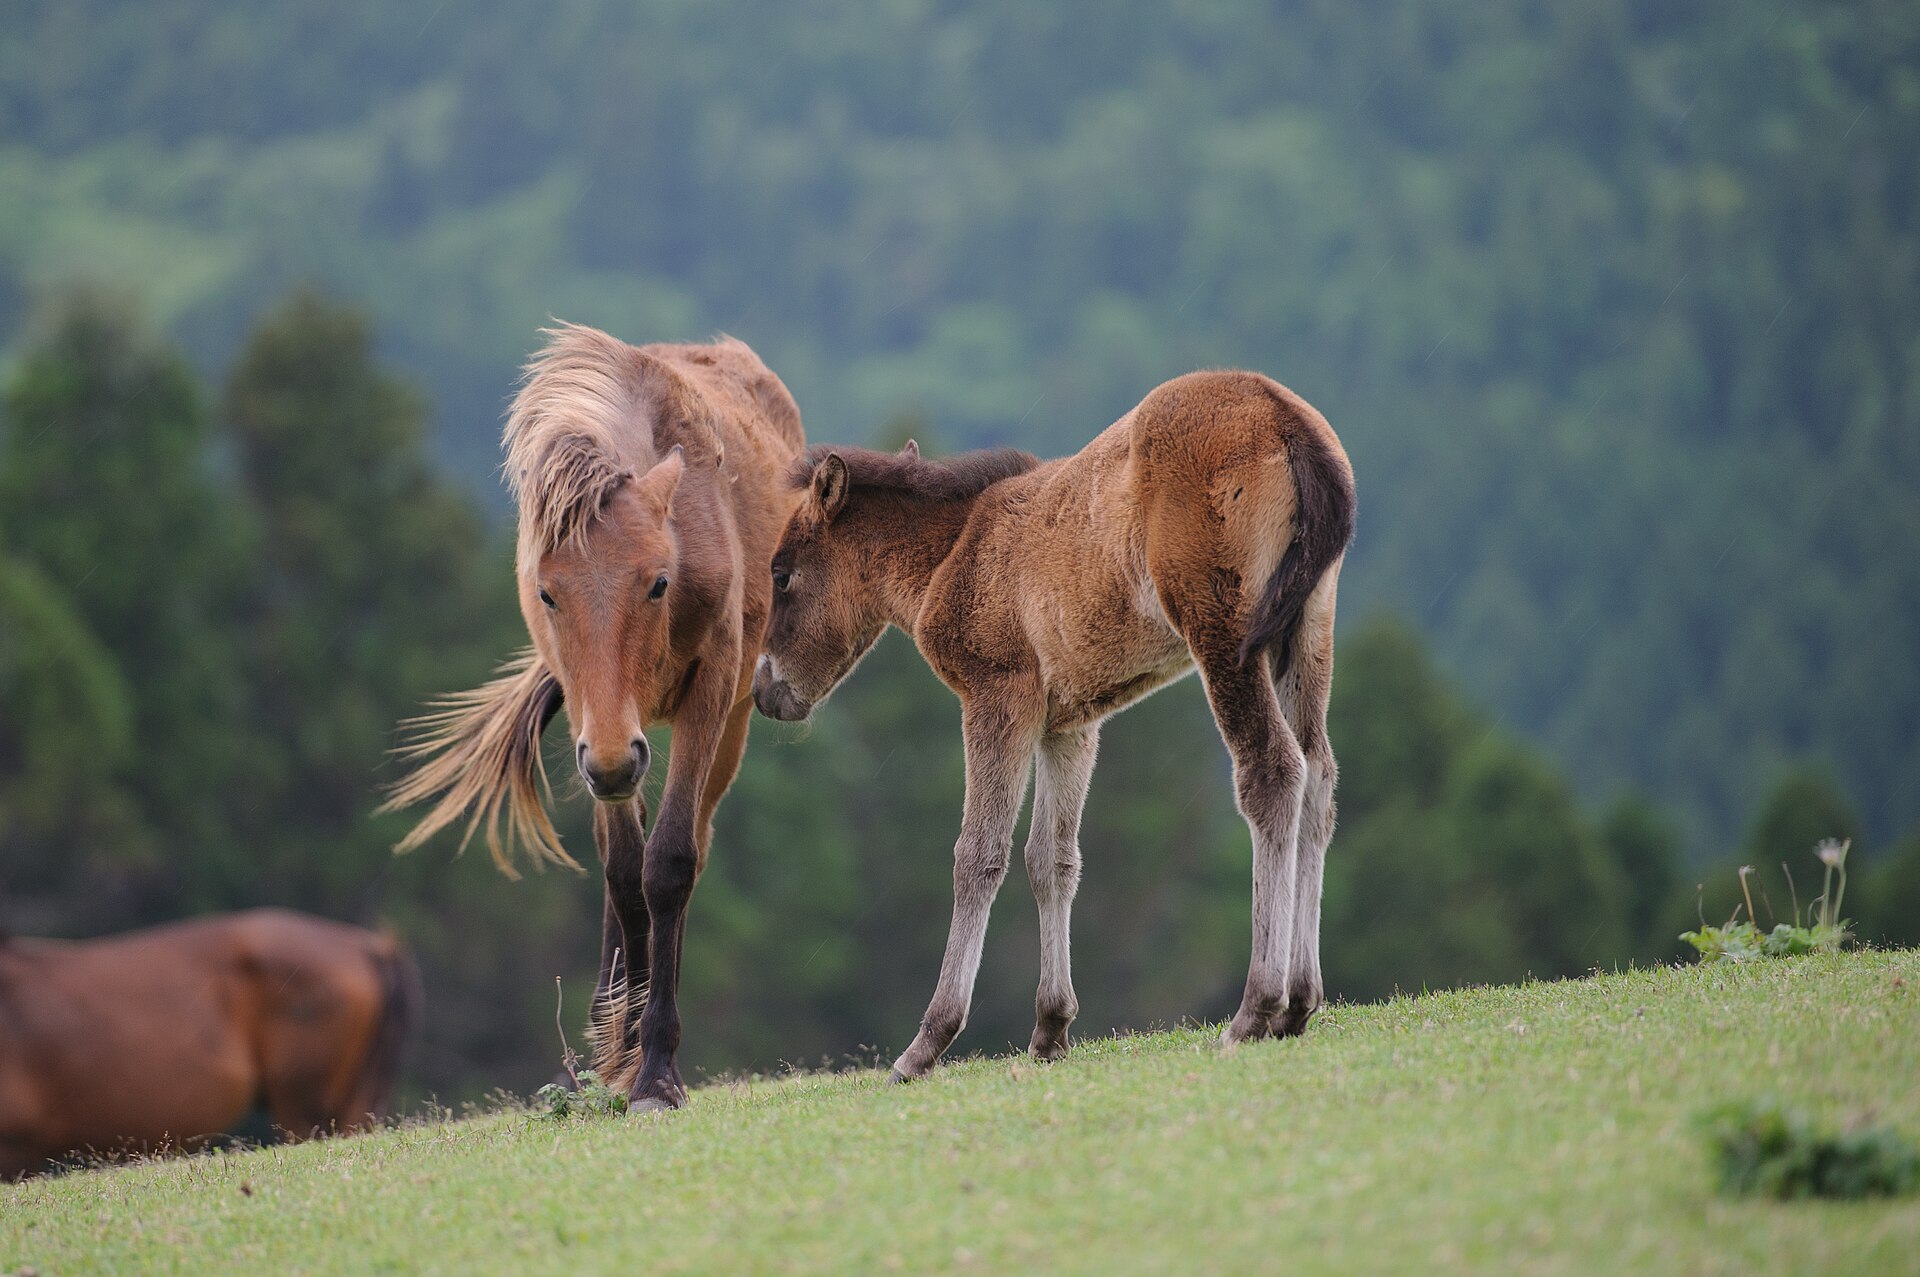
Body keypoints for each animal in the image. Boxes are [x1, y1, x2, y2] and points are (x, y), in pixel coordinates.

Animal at [384, 325, 804, 1110]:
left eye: (659, 582)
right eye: (547, 592)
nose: (613, 760)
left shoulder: (703, 700)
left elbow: (669, 866)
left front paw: (657, 1069)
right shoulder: (596, 729)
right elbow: (624, 875)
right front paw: (622, 1045)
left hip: (715, 731)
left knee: (689, 846)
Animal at [751, 369, 1354, 1080]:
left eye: (781, 575)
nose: (764, 692)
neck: (957, 550)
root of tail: (1285, 415)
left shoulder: (997, 696)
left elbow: (978, 855)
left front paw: (926, 1044)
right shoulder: (1069, 724)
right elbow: (1052, 860)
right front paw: (1050, 1030)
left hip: (1223, 632)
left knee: (1273, 770)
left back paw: (1256, 1009)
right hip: (1306, 632)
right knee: (1318, 778)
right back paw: (1300, 1005)